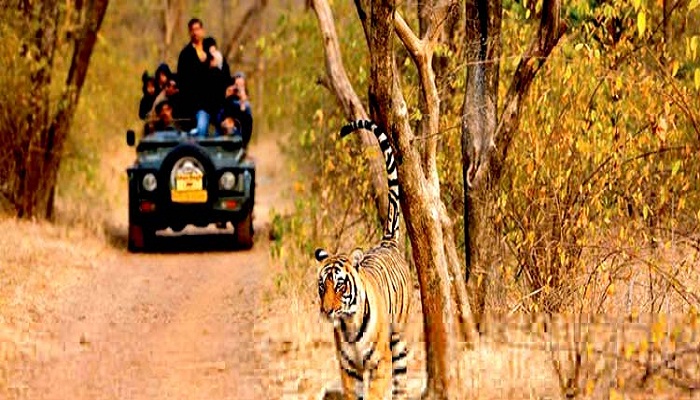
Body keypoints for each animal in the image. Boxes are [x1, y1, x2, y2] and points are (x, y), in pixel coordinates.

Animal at [316, 119, 412, 400]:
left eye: (340, 285)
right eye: (322, 286)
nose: (327, 311)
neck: (349, 325)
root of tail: (387, 242)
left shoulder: (380, 364)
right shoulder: (349, 371)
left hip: (399, 336)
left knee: (400, 381)